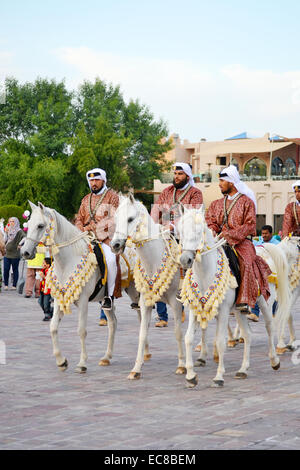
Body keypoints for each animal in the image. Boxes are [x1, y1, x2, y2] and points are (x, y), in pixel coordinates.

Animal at [20, 202, 144, 374]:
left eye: (40, 226)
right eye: (29, 224)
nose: (25, 252)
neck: (68, 262)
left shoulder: (84, 301)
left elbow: (81, 330)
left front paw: (82, 363)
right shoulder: (59, 300)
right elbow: (53, 328)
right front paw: (61, 361)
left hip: (134, 292)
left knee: (141, 318)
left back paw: (145, 355)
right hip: (107, 299)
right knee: (113, 323)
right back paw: (107, 357)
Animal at [110, 193, 185, 380]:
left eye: (130, 219)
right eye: (116, 218)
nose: (115, 245)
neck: (154, 260)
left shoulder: (175, 302)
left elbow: (178, 332)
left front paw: (182, 365)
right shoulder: (145, 302)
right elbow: (142, 333)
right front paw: (136, 369)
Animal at [177, 207, 290, 388]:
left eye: (198, 231)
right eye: (181, 230)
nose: (185, 259)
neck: (205, 274)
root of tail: (264, 248)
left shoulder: (223, 311)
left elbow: (220, 341)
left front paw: (218, 377)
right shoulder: (195, 309)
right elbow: (188, 338)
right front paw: (191, 376)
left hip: (265, 302)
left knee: (269, 326)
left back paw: (274, 360)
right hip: (239, 310)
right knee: (248, 334)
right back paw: (243, 369)